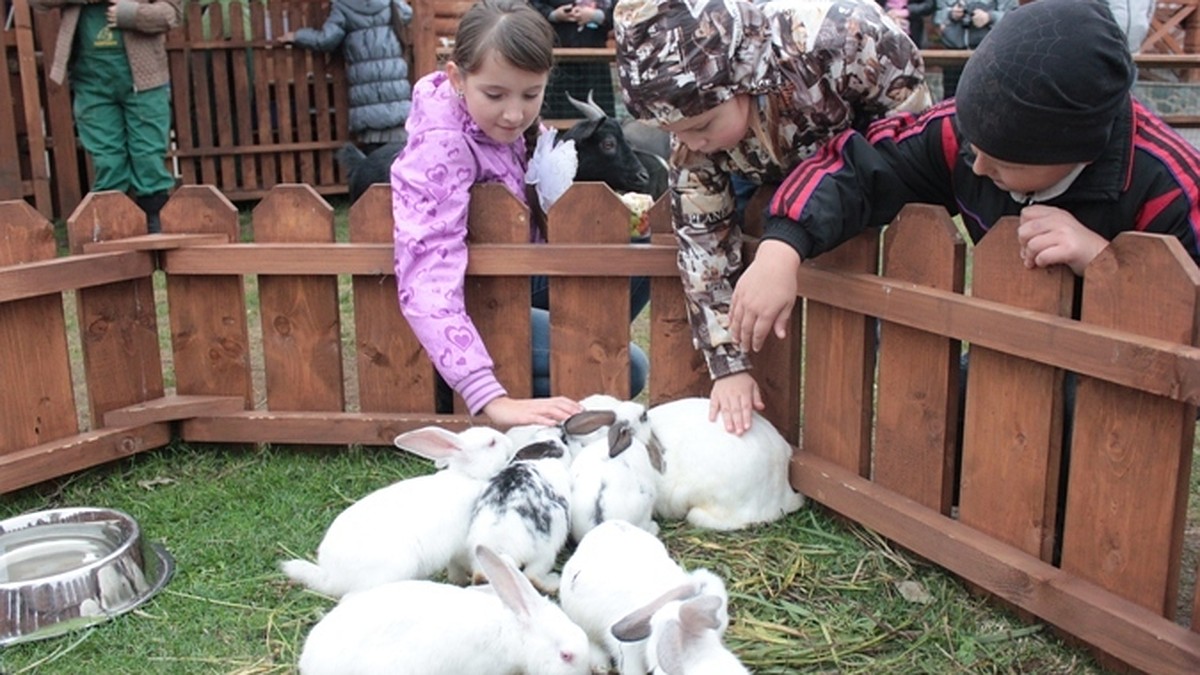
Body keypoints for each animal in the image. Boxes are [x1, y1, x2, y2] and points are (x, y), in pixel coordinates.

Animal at [463, 429, 571, 588]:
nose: (561, 429)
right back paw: (554, 583)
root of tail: (503, 548)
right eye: (564, 440)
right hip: (547, 550)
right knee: (533, 576)